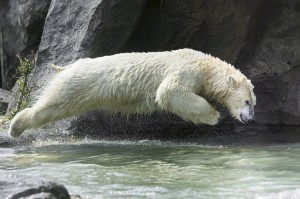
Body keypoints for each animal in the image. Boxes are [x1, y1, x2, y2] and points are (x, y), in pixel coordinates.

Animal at [8, 49, 255, 138]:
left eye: (254, 102)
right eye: (246, 101)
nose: (250, 119)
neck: (206, 66)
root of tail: (69, 66)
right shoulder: (186, 69)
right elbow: (169, 91)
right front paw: (214, 115)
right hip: (76, 85)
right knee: (52, 106)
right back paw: (15, 127)